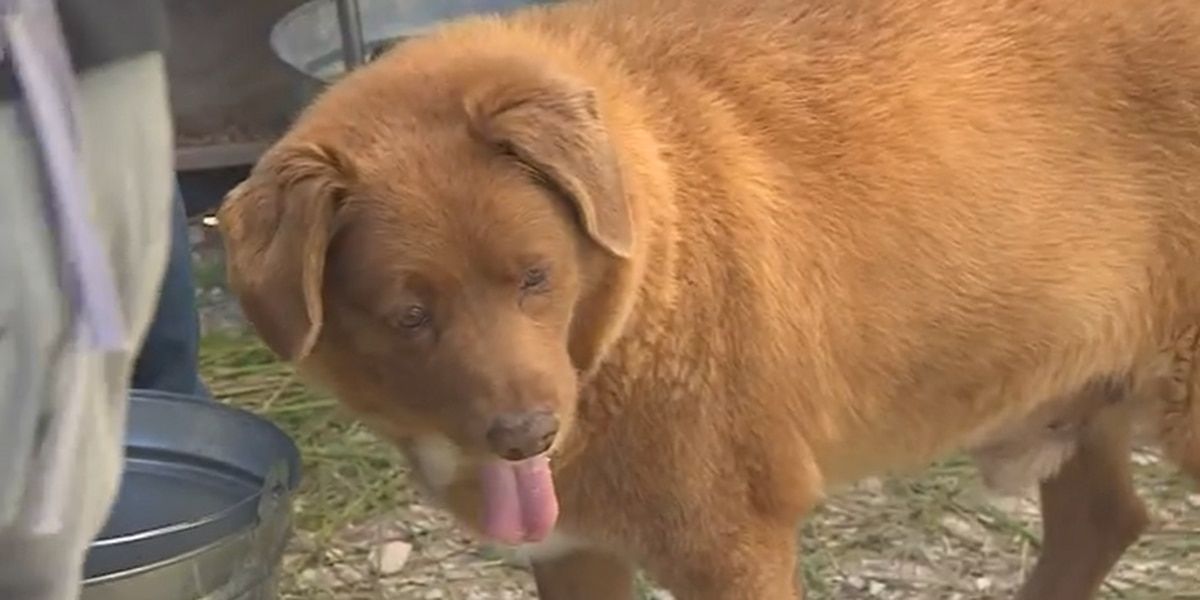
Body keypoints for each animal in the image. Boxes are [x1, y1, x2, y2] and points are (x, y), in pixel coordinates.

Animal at [216, 0, 1200, 595]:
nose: (527, 437)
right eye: (409, 316)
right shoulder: (573, 549)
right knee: (1103, 521)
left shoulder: (730, 547)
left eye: (537, 277)